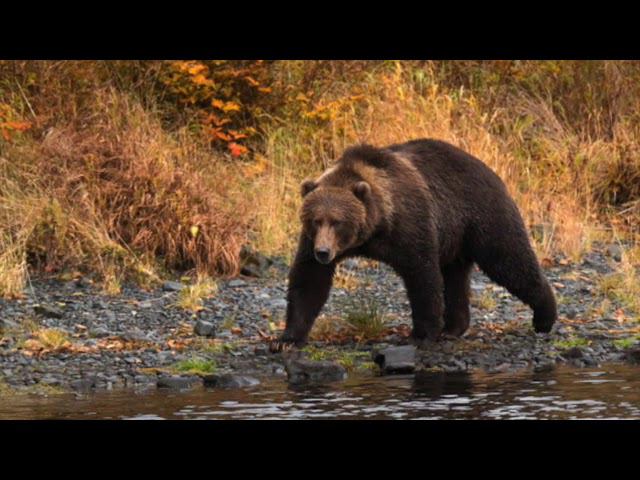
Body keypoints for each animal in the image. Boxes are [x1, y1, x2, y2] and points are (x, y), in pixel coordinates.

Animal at [274, 139, 556, 348]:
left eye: (337, 221)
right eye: (316, 220)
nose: (323, 252)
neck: (376, 226)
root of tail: (487, 169)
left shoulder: (409, 223)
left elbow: (422, 274)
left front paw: (422, 333)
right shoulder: (310, 240)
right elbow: (309, 280)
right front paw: (287, 339)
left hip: (482, 214)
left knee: (509, 260)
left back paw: (545, 317)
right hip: (456, 239)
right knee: (455, 276)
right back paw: (454, 328)